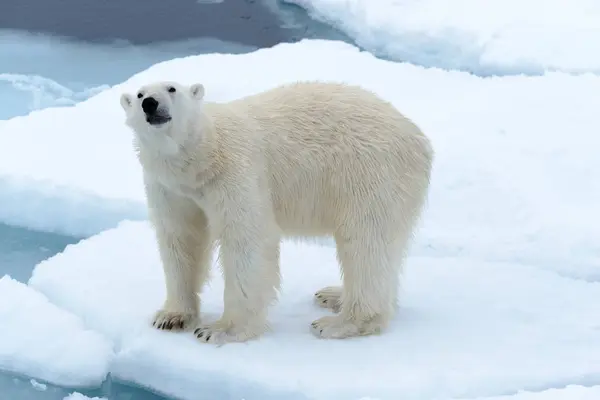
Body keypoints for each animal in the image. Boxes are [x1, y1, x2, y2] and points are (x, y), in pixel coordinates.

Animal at [119, 80, 434, 344]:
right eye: (139, 94)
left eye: (171, 88)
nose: (151, 103)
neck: (203, 155)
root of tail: (419, 138)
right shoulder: (170, 189)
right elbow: (181, 240)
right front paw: (171, 316)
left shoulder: (236, 172)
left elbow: (247, 242)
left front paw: (219, 329)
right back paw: (333, 295)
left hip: (371, 173)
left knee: (365, 243)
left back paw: (338, 322)